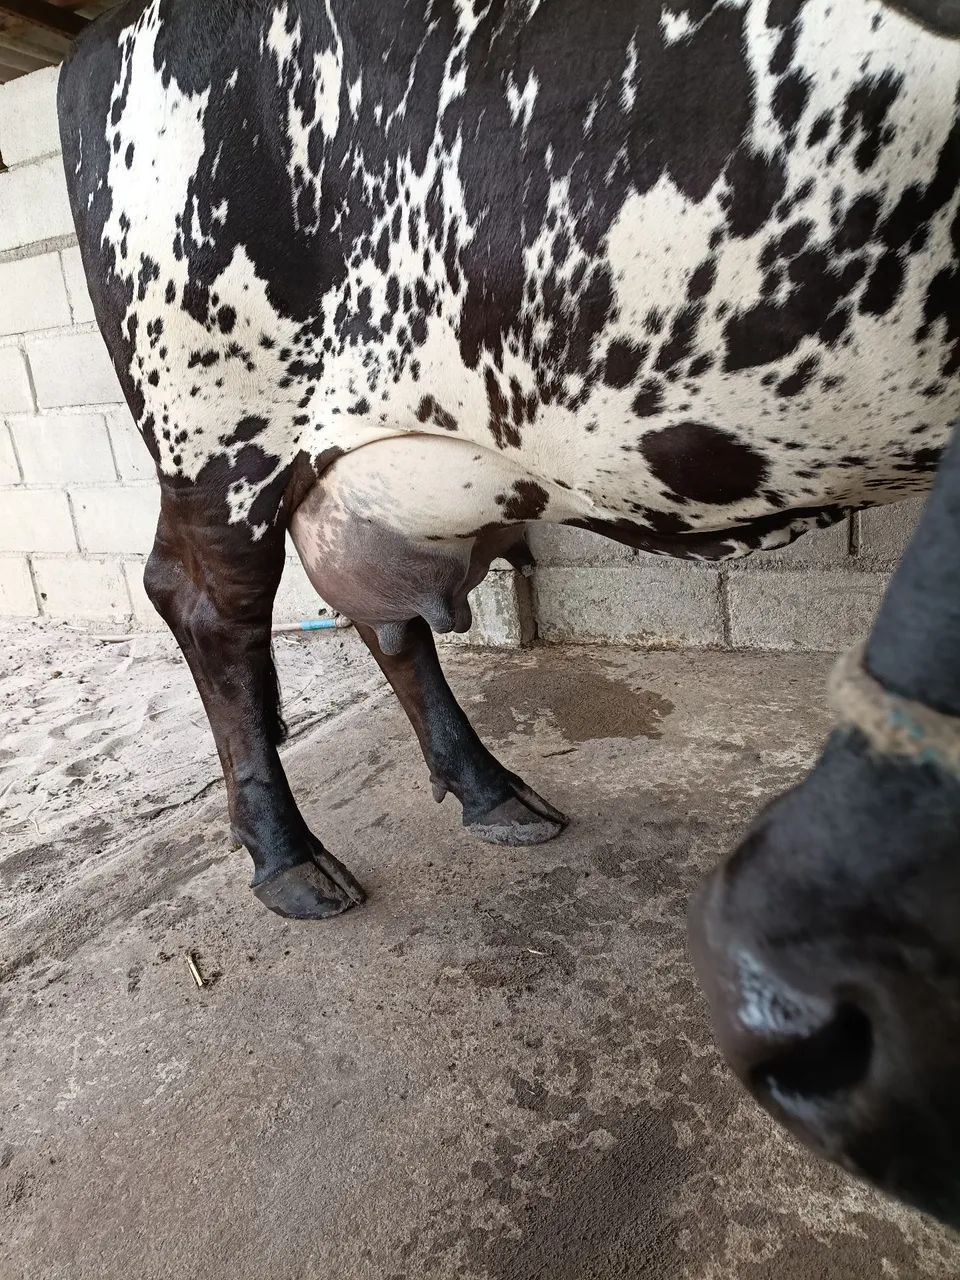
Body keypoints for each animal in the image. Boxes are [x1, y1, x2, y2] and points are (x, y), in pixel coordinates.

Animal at [58, 0, 960, 1224]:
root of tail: (98, 38)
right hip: (214, 410)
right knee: (207, 605)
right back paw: (290, 859)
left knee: (383, 612)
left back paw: (491, 789)